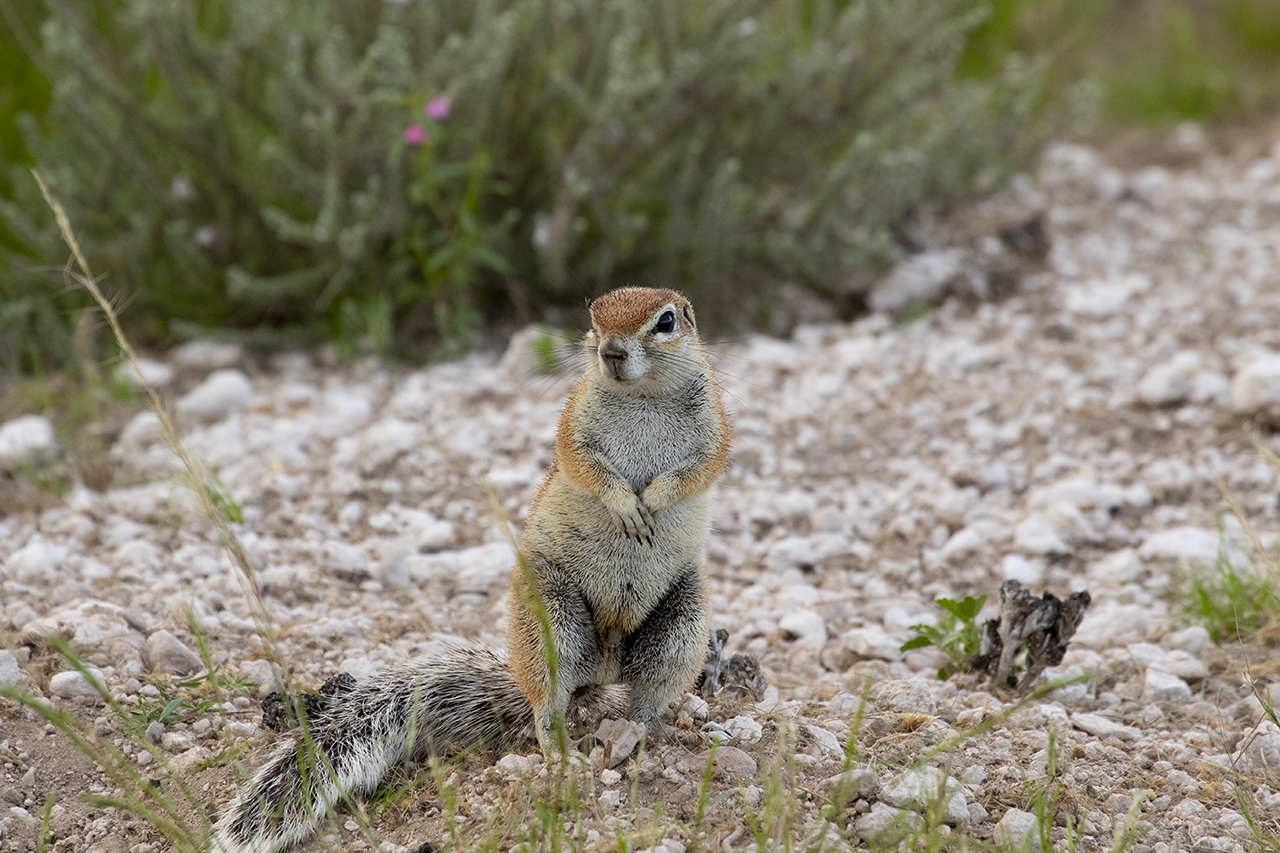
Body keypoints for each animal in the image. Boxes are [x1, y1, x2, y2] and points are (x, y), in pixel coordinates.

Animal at [212, 287, 731, 853]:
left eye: (665, 321)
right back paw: (561, 748)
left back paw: (652, 733)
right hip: (551, 620)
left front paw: (652, 501)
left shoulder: (716, 429)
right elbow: (585, 466)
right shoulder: (572, 426)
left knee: (645, 696)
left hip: (682, 623)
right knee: (547, 706)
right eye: (593, 317)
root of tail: (602, 669)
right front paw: (626, 504)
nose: (611, 352)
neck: (643, 396)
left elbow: (699, 468)